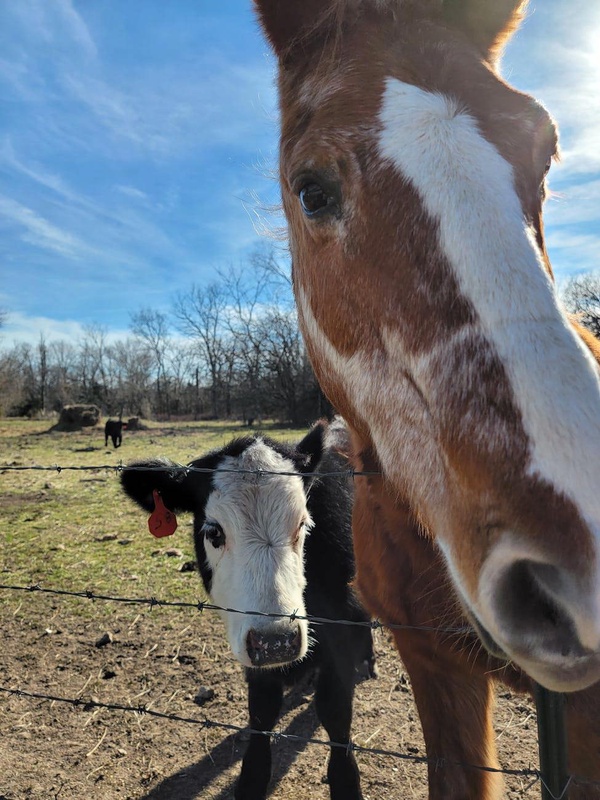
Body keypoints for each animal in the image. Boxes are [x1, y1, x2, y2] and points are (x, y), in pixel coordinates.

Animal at [119, 418, 376, 800]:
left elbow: (335, 711)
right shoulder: (251, 640)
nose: (277, 642)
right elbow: (262, 713)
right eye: (213, 532)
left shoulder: (341, 623)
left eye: (303, 524)